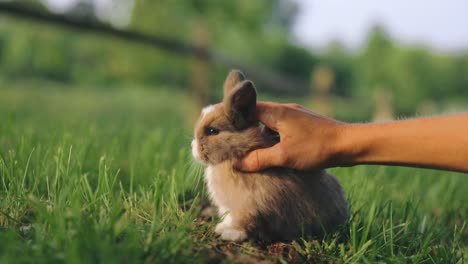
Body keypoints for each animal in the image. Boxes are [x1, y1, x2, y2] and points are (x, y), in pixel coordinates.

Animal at [190, 69, 348, 241]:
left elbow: (244, 222)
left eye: (213, 131)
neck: (236, 154)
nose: (193, 148)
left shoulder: (249, 205)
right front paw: (222, 227)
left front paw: (230, 234)